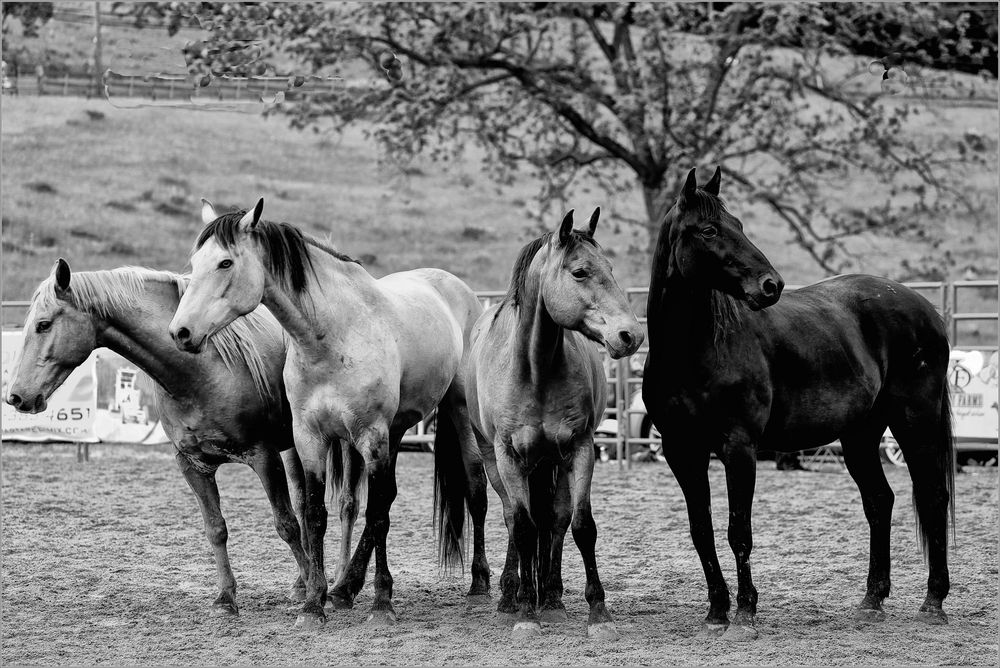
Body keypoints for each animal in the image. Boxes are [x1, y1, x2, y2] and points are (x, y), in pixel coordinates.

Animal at [5, 260, 306, 616]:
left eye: (43, 324)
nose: (15, 397)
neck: (204, 371)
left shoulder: (263, 456)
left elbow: (286, 524)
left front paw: (315, 595)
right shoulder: (192, 464)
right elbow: (216, 529)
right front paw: (226, 597)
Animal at [170, 198, 490, 628]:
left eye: (224, 263)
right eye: (194, 260)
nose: (181, 332)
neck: (333, 336)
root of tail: (460, 289)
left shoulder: (370, 436)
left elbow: (376, 515)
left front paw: (382, 604)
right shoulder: (310, 439)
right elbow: (315, 514)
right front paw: (313, 604)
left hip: (456, 411)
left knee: (474, 485)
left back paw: (479, 582)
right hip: (396, 430)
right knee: (387, 497)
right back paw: (344, 588)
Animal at [466, 207, 644, 636]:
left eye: (610, 268)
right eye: (579, 272)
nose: (630, 335)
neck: (536, 370)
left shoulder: (580, 449)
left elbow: (580, 525)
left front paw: (598, 612)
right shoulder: (510, 457)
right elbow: (524, 526)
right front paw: (525, 613)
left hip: (552, 462)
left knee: (555, 520)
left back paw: (551, 596)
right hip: (495, 461)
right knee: (514, 518)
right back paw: (512, 596)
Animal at [640, 166, 952, 636]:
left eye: (739, 225)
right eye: (710, 230)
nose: (771, 285)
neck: (694, 349)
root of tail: (925, 308)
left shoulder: (739, 448)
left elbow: (739, 531)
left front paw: (745, 613)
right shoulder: (682, 451)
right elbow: (701, 532)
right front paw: (716, 612)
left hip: (916, 422)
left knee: (932, 497)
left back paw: (933, 602)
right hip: (861, 435)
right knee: (880, 502)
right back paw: (871, 601)